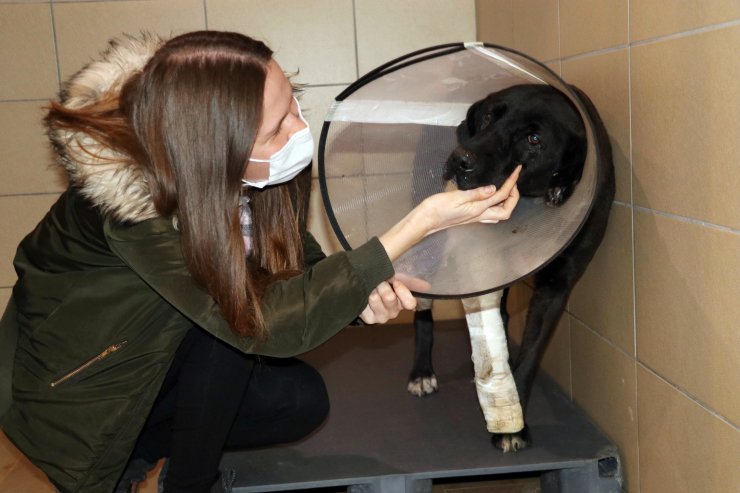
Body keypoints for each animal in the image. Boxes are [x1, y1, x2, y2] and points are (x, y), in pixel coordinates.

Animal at [408, 83, 616, 450]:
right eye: (491, 115)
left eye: (534, 139)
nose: (461, 159)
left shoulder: (556, 286)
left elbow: (531, 352)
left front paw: (513, 421)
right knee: (423, 307)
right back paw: (422, 372)